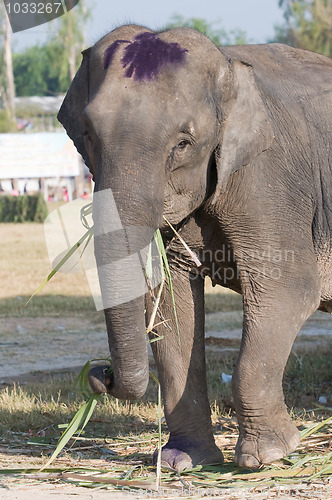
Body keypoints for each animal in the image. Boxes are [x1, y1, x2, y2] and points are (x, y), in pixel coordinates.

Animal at [58, 25, 332, 470]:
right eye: (89, 134)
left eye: (183, 143)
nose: (101, 373)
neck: (228, 64)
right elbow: (172, 303)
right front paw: (182, 461)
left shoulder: (269, 179)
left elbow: (287, 289)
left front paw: (267, 457)